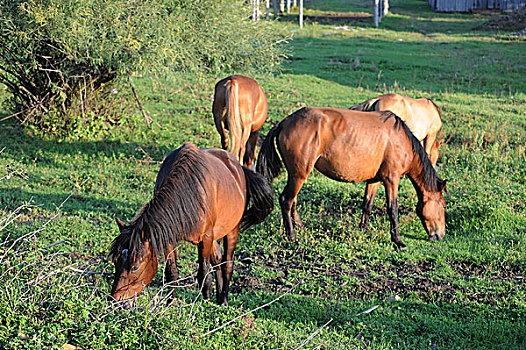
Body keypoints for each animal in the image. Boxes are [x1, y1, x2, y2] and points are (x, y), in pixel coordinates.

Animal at [111, 142, 276, 306]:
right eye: (115, 262)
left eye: (135, 266)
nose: (115, 299)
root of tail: (239, 168)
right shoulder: (169, 236)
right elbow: (172, 272)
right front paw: (169, 303)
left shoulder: (206, 237)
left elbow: (203, 273)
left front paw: (204, 303)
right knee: (217, 259)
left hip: (232, 230)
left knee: (227, 263)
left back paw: (223, 300)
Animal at [258, 107, 448, 249]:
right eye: (444, 205)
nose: (440, 235)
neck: (401, 139)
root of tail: (284, 123)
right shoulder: (391, 179)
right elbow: (392, 209)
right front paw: (398, 241)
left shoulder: (375, 180)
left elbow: (367, 205)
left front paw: (363, 230)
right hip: (299, 174)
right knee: (286, 200)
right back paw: (292, 236)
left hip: (296, 175)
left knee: (293, 201)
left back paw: (300, 228)